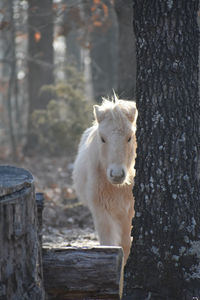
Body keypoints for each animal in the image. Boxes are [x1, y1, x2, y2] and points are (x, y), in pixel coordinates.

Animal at [73, 95, 138, 262]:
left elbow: (126, 245)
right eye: (102, 138)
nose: (117, 175)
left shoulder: (129, 213)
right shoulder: (101, 211)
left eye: (129, 137)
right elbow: (109, 244)